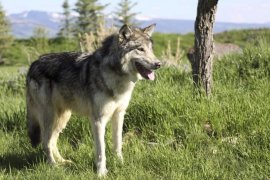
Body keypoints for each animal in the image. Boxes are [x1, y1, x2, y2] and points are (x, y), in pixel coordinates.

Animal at [25, 23, 160, 176]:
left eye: (151, 49)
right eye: (140, 49)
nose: (158, 64)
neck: (116, 77)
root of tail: (33, 64)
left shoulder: (119, 115)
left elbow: (117, 144)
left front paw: (120, 163)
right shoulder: (98, 120)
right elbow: (101, 150)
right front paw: (101, 173)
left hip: (63, 118)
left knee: (53, 140)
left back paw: (63, 162)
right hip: (49, 116)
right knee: (45, 142)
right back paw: (53, 166)